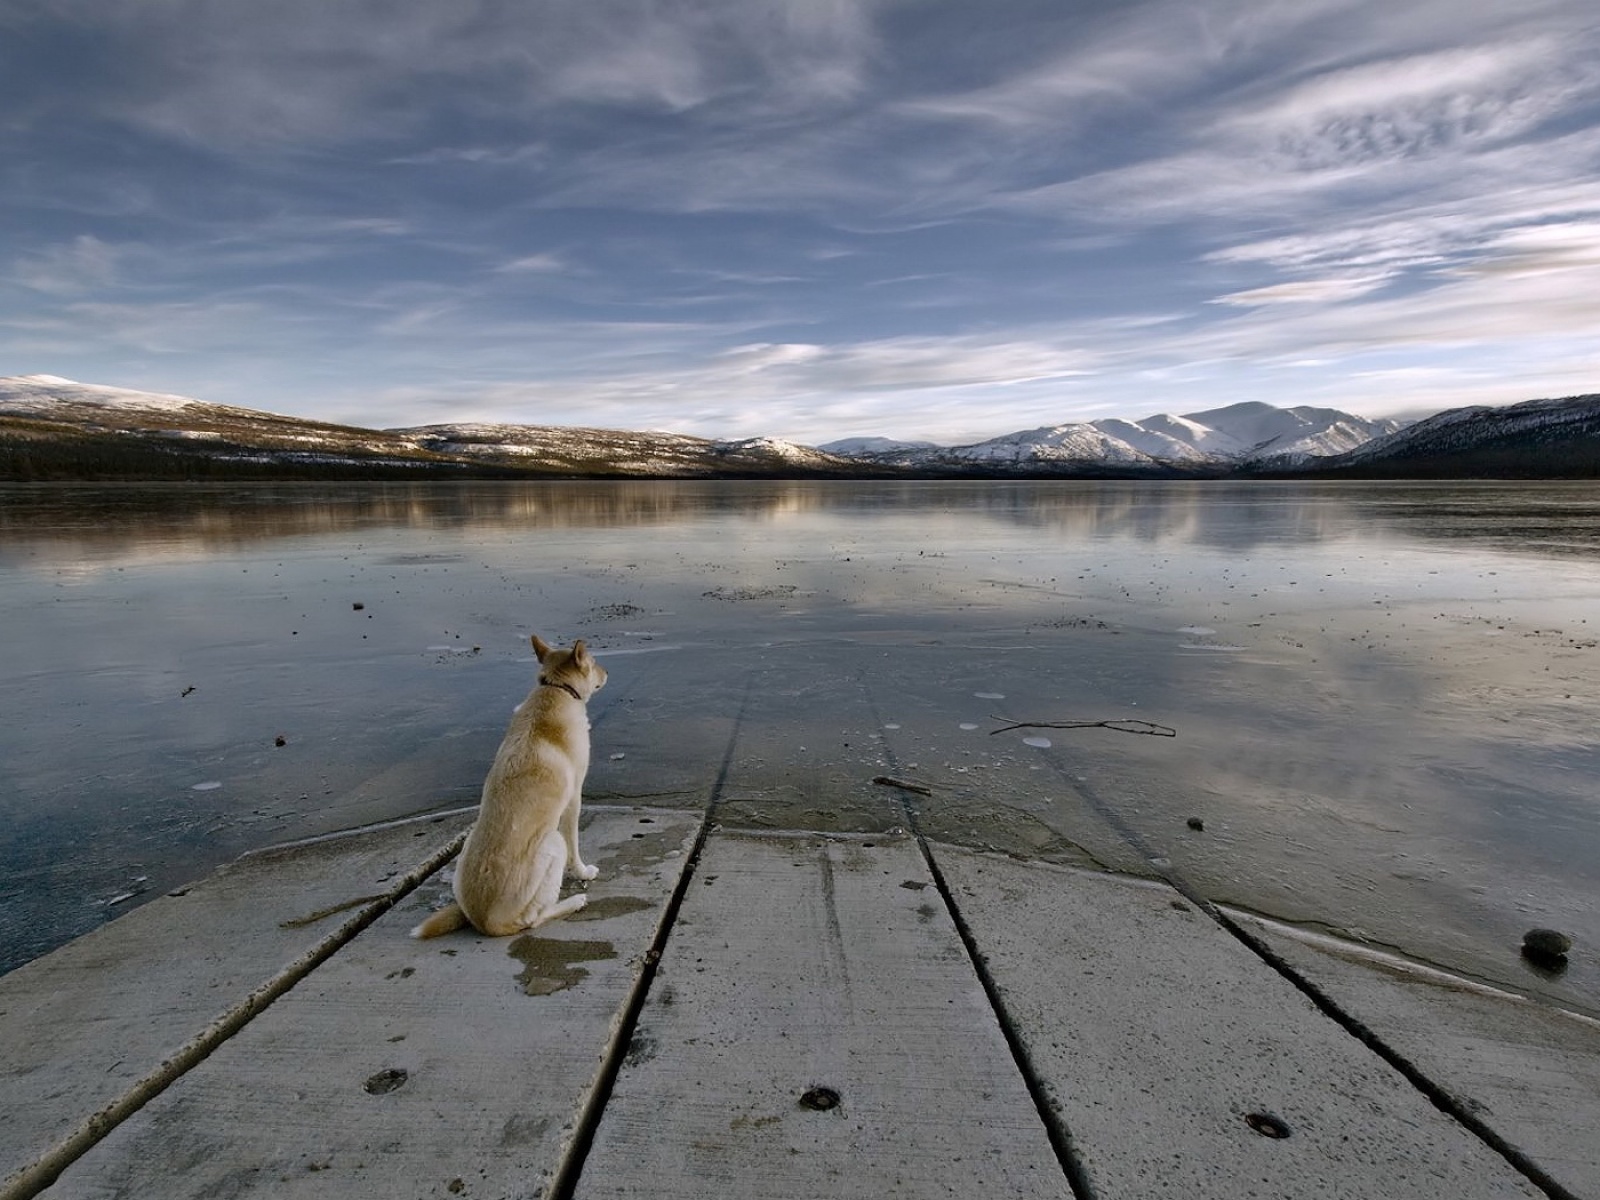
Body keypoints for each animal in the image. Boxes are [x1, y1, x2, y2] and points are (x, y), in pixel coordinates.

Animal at [409, 633, 608, 947]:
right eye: (594, 663)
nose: (607, 672)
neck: (556, 689)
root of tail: (483, 922)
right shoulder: (574, 798)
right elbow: (575, 844)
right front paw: (583, 872)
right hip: (552, 843)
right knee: (533, 919)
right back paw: (573, 902)